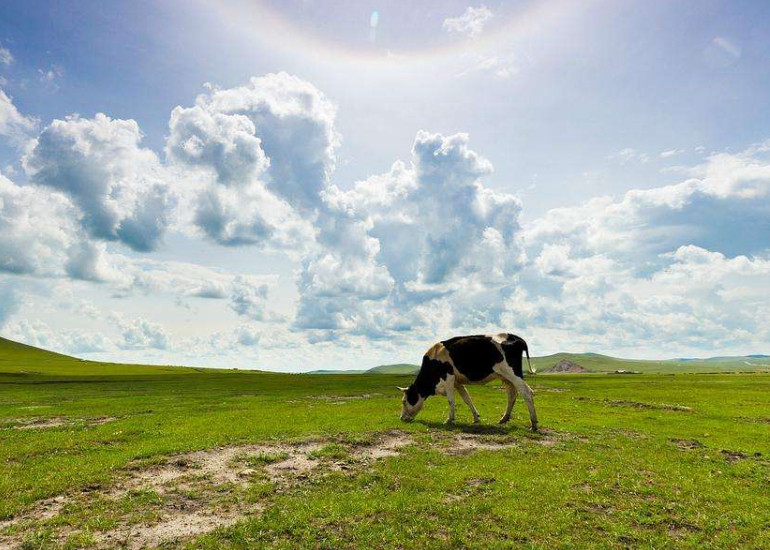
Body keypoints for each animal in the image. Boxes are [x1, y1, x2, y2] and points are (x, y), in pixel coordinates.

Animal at [400, 334, 536, 434]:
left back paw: (534, 424)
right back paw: (504, 418)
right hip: (506, 377)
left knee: (526, 392)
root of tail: (514, 337)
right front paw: (476, 417)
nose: (401, 418)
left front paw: (449, 420)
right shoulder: (457, 382)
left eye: (404, 401)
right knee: (512, 394)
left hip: (512, 373)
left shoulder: (448, 378)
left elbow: (451, 400)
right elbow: (467, 398)